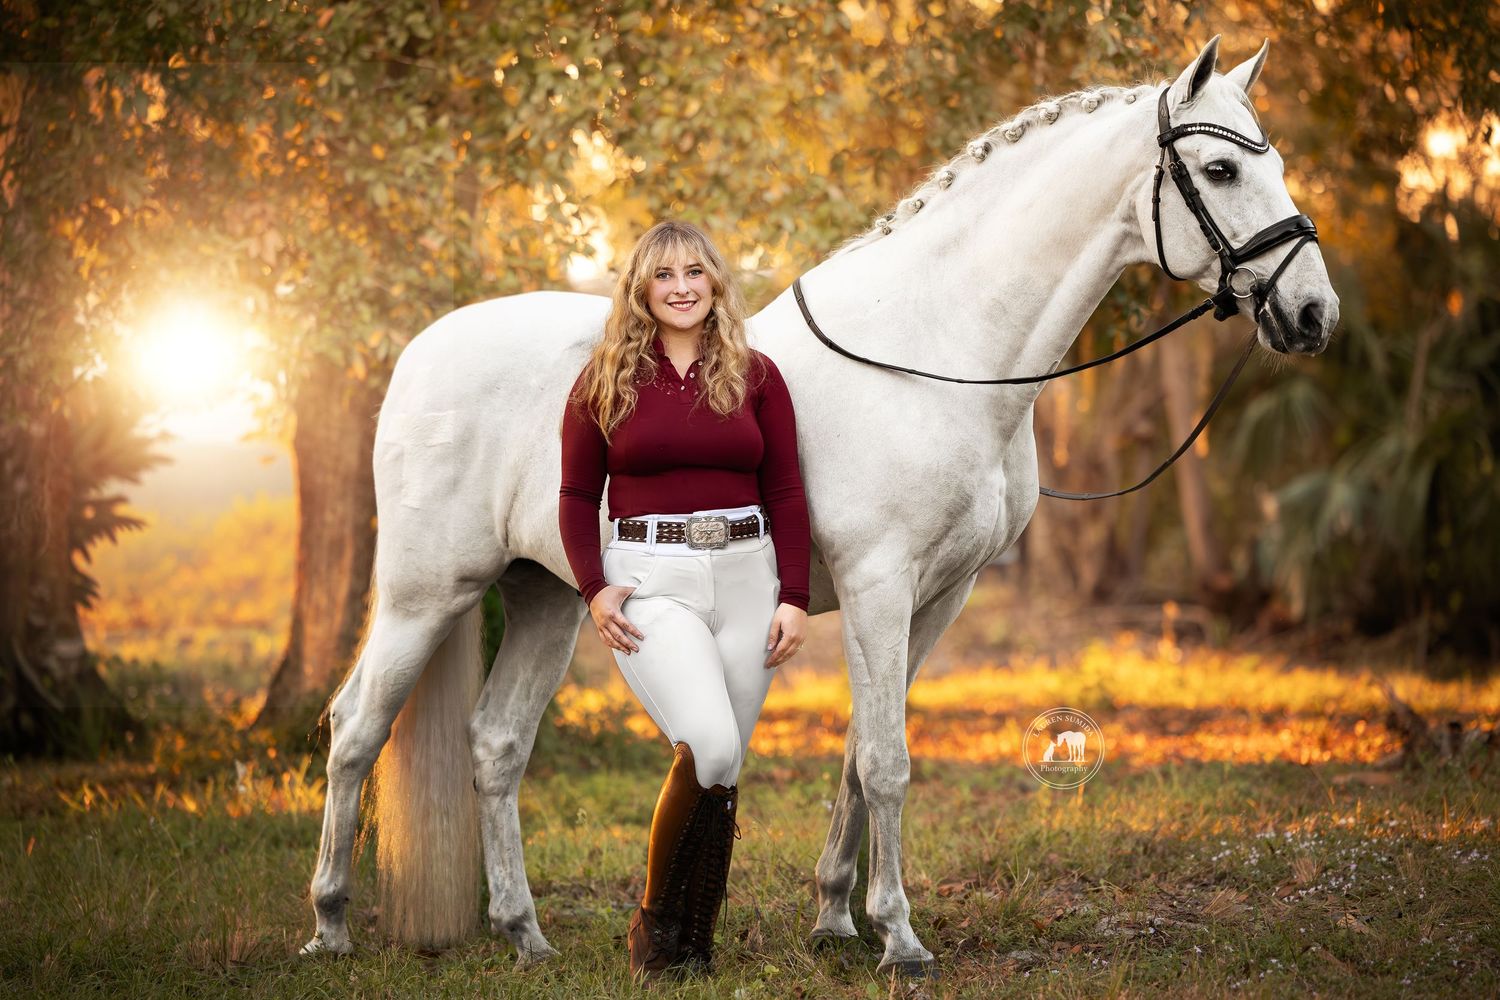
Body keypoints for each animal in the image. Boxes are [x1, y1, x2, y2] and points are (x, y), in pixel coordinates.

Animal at [300, 36, 1338, 975]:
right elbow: (887, 761)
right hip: (427, 593)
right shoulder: (881, 585)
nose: (1314, 315)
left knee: (497, 743)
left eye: (1275, 162)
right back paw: (330, 926)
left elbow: (857, 752)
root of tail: (421, 350)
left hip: (552, 597)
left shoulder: (940, 594)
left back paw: (525, 935)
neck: (935, 352)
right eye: (1220, 168)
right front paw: (901, 940)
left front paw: (838, 920)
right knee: (354, 730)